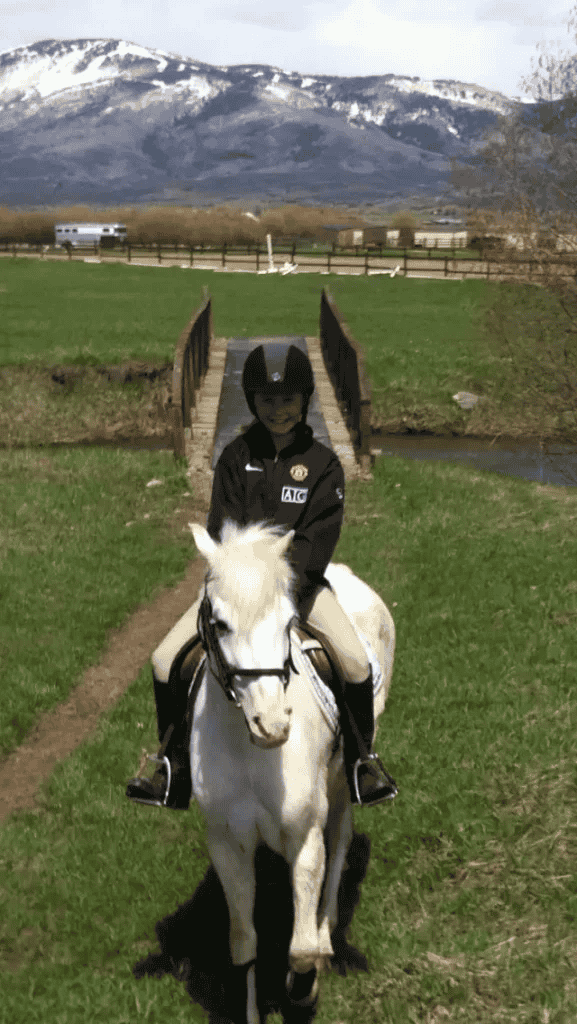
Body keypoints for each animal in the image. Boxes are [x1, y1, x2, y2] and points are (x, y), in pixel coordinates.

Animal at [188, 519, 395, 1024]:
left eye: (287, 623)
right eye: (219, 623)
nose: (272, 723)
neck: (249, 751)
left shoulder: (304, 836)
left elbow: (299, 948)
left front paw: (301, 988)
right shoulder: (227, 843)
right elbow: (244, 943)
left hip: (341, 780)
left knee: (340, 840)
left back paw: (326, 930)